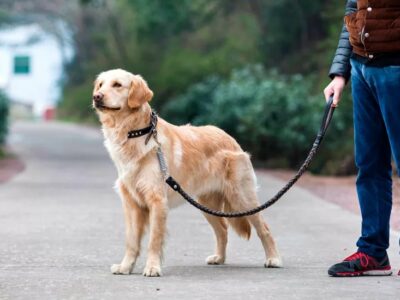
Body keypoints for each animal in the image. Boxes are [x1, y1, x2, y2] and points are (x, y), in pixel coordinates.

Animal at [92, 68, 282, 276]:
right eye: (101, 84)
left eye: (117, 85)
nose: (96, 97)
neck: (135, 133)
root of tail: (229, 137)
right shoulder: (132, 203)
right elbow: (131, 241)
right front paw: (125, 267)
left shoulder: (157, 200)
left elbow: (154, 241)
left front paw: (152, 267)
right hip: (206, 203)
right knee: (222, 229)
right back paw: (219, 258)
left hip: (241, 198)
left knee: (264, 228)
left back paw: (273, 259)